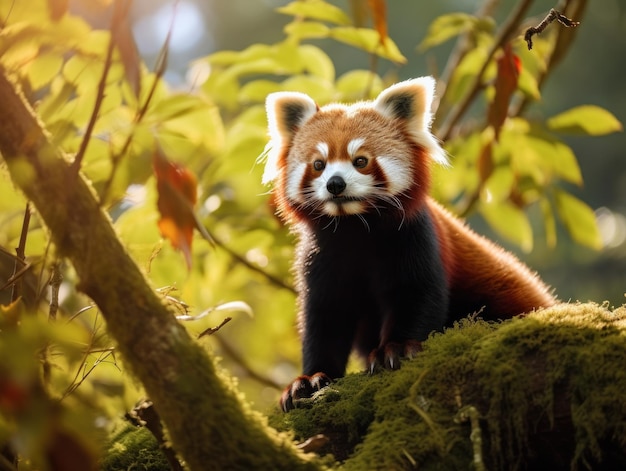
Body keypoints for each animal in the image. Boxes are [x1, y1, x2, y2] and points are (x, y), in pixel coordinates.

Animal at [262, 78, 552, 412]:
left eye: (360, 161)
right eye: (319, 164)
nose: (335, 184)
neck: (354, 227)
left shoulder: (415, 236)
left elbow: (415, 292)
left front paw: (396, 349)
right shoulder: (321, 256)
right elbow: (326, 316)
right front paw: (310, 379)